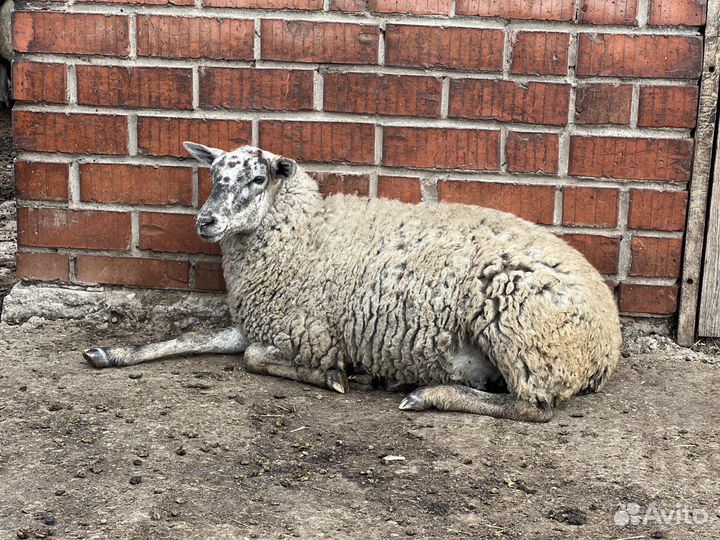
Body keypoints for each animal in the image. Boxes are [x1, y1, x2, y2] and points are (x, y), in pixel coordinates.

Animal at [83, 142, 622, 422]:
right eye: (214, 174)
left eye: (258, 179)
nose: (206, 221)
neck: (303, 232)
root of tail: (608, 342)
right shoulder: (264, 319)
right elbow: (186, 338)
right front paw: (110, 353)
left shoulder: (306, 332)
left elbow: (255, 359)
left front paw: (335, 376)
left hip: (523, 335)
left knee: (534, 407)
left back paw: (427, 394)